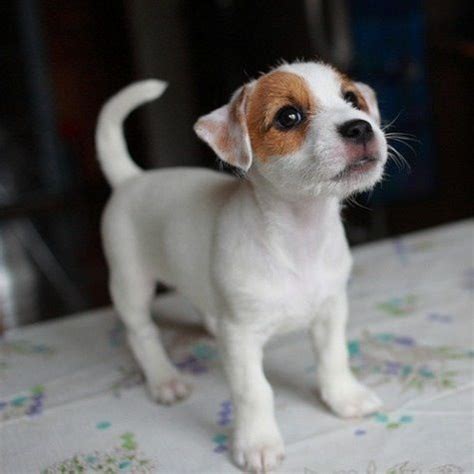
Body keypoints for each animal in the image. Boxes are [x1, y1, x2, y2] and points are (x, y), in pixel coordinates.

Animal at [97, 61, 388, 472]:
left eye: (352, 99)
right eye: (288, 117)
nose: (360, 126)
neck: (299, 237)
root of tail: (131, 179)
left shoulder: (331, 311)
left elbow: (334, 359)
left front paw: (345, 397)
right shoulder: (240, 336)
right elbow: (254, 391)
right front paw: (257, 443)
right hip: (130, 281)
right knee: (141, 333)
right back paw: (165, 380)